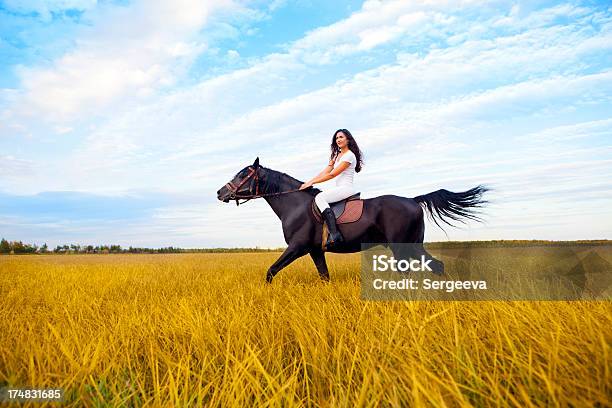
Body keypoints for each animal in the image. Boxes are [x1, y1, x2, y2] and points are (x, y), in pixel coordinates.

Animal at [216, 158, 488, 282]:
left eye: (242, 174)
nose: (220, 193)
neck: (294, 205)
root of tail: (413, 199)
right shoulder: (315, 250)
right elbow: (324, 276)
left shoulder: (297, 247)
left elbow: (271, 271)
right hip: (412, 245)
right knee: (436, 266)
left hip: (401, 247)